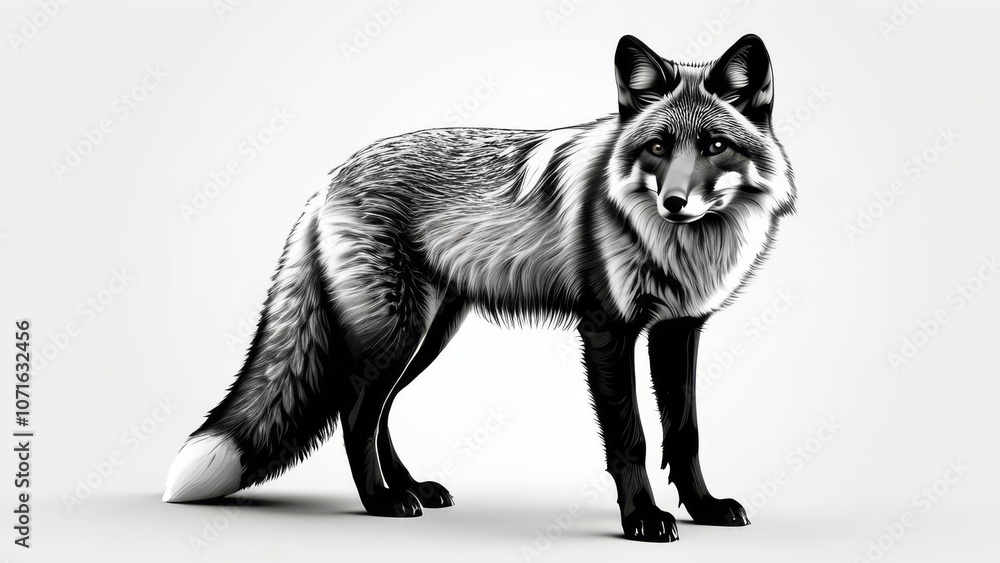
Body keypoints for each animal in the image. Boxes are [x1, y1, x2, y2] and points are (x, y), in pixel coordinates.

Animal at [164, 33, 795, 542]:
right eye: (659, 148)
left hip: (428, 336)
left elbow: (685, 433)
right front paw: (641, 518)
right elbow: (631, 439)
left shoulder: (678, 330)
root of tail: (327, 182)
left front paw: (704, 508)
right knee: (355, 412)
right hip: (396, 333)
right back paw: (382, 501)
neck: (681, 249)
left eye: (715, 146)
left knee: (378, 411)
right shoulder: (606, 331)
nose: (674, 203)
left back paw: (411, 488)